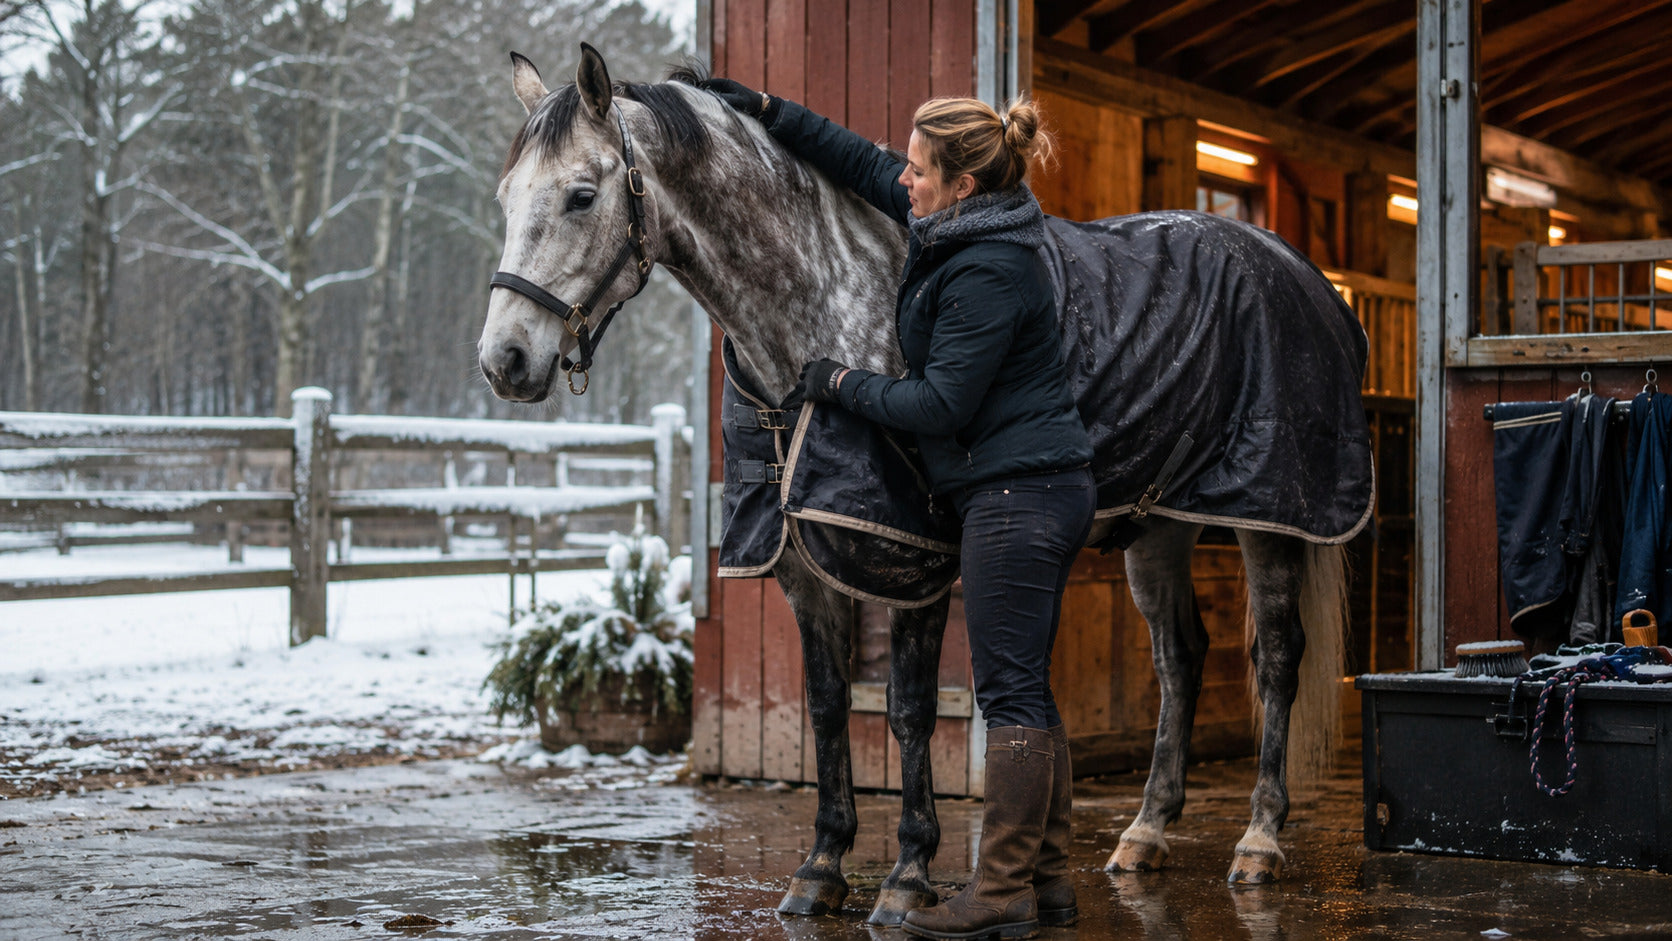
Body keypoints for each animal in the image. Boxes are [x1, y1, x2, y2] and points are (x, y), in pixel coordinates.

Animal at [478, 45, 1365, 926]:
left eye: (582, 195)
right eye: (506, 196)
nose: (505, 360)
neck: (826, 307)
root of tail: (1299, 271)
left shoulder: (912, 563)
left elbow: (908, 709)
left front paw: (908, 874)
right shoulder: (803, 566)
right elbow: (828, 705)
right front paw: (821, 866)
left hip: (1270, 523)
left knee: (1277, 659)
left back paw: (1259, 840)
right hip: (1158, 526)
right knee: (1180, 657)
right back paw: (1145, 833)